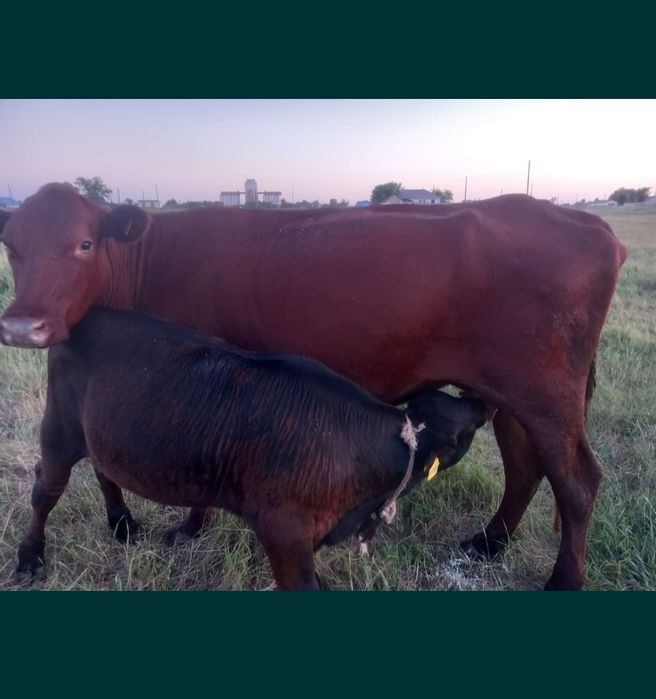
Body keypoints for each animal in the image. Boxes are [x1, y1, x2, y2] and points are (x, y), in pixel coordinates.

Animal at [15, 307, 488, 590]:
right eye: (463, 431)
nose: (483, 405)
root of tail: (92, 312)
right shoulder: (283, 530)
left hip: (102, 432)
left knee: (104, 468)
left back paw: (122, 525)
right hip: (58, 432)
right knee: (44, 492)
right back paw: (29, 558)